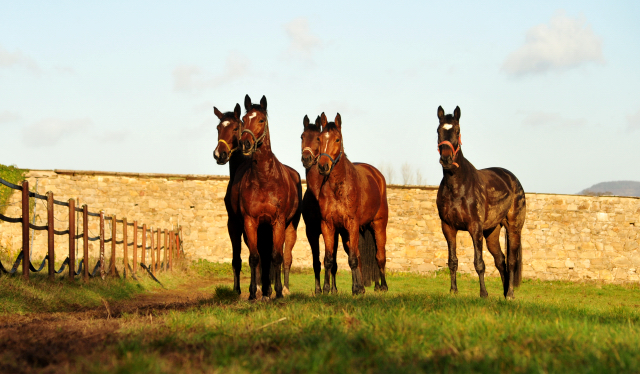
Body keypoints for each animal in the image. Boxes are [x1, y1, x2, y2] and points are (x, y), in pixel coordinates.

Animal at [238, 95, 302, 300]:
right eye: (244, 119)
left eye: (261, 120)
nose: (245, 143)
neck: (264, 179)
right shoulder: (250, 222)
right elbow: (255, 257)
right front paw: (254, 293)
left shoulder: (278, 221)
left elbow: (276, 256)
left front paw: (279, 291)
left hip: (289, 227)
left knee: (285, 257)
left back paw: (284, 289)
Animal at [316, 112, 388, 294]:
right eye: (319, 138)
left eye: (337, 139)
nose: (323, 166)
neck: (338, 188)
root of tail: (377, 175)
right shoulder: (328, 225)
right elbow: (329, 259)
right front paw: (326, 289)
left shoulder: (353, 224)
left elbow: (354, 259)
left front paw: (355, 289)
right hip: (346, 234)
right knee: (357, 256)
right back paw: (361, 287)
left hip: (378, 225)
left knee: (380, 255)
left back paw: (382, 286)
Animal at [438, 106, 528, 300]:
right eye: (438, 130)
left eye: (457, 131)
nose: (446, 159)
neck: (457, 186)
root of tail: (512, 178)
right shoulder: (448, 227)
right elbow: (452, 261)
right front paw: (453, 290)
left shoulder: (475, 228)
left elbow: (479, 262)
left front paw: (483, 293)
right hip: (492, 233)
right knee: (500, 260)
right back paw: (504, 292)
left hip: (514, 229)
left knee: (511, 261)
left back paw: (510, 293)